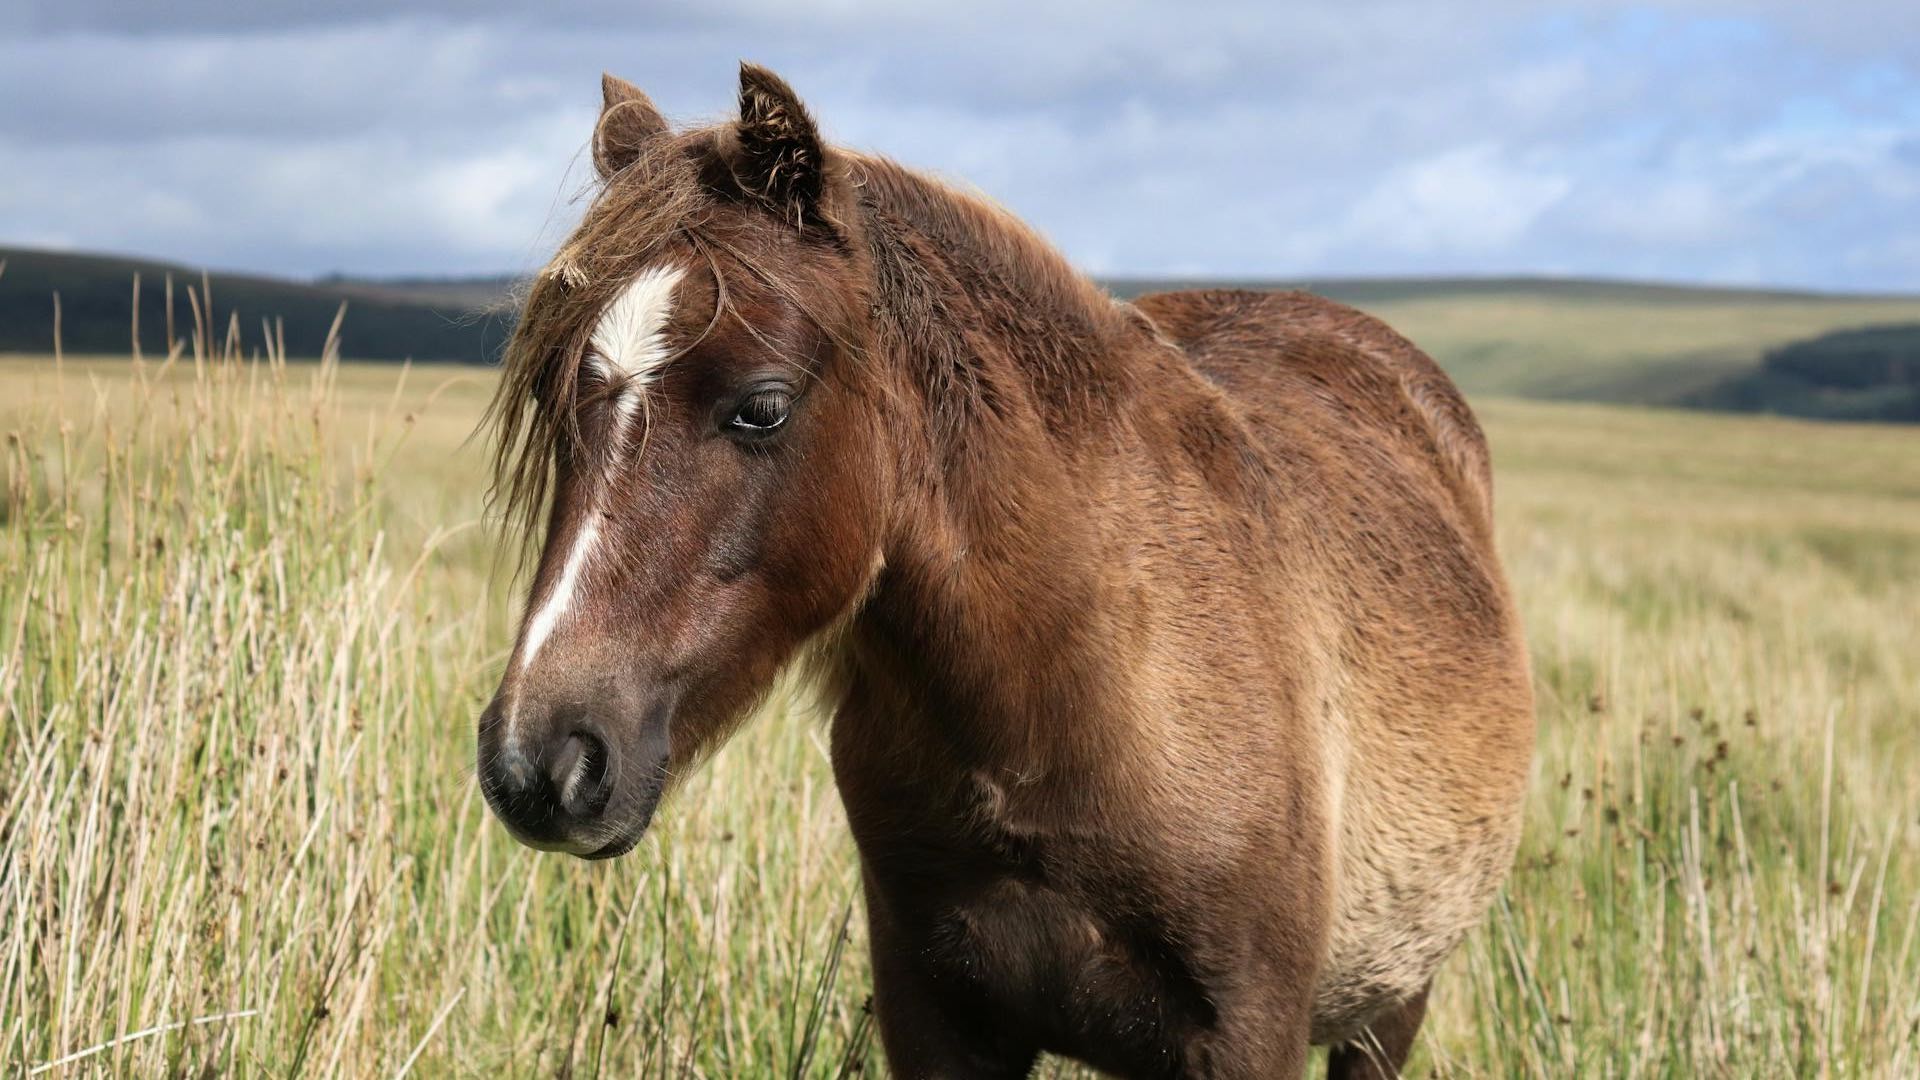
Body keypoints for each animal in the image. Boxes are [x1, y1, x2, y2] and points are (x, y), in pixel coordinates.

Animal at [476, 62, 1528, 1068]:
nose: (537, 763)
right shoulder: (937, 1021)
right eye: (556, 404)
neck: (1068, 693)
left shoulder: (1249, 1031)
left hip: (1390, 1007)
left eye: (761, 407)